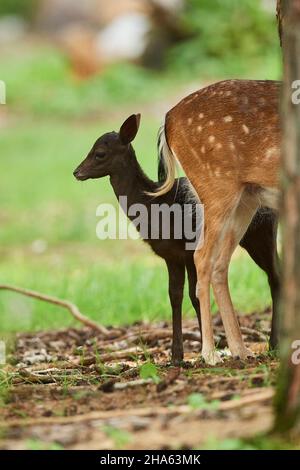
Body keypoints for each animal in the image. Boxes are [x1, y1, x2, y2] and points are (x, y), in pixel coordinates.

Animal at [155, 81, 282, 366]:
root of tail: (168, 116)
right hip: (216, 186)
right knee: (202, 257)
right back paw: (210, 353)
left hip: (246, 198)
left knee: (220, 263)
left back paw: (240, 349)